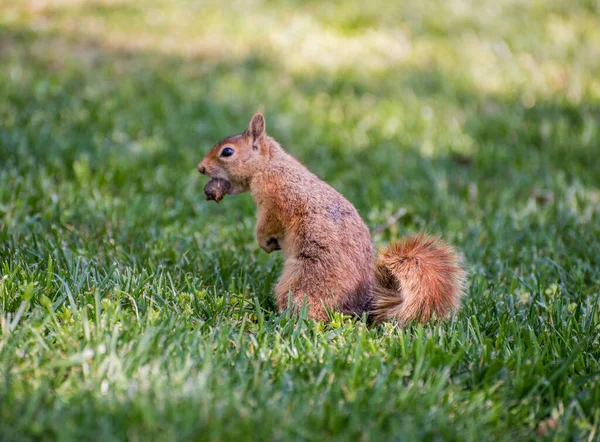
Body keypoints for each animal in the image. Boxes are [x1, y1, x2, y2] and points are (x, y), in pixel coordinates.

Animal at [199, 112, 466, 322]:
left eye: (227, 152)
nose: (201, 168)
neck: (270, 165)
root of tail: (360, 308)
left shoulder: (277, 199)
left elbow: (268, 222)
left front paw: (264, 242)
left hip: (305, 282)